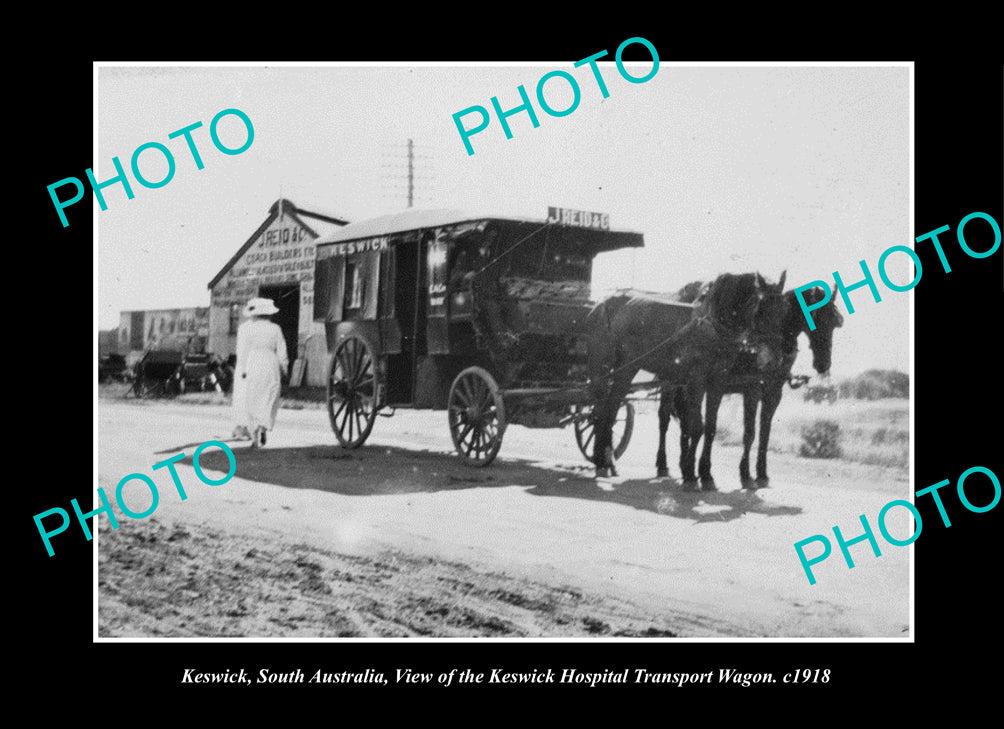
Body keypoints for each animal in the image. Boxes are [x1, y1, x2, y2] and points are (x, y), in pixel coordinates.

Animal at [582, 273, 767, 479]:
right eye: (754, 301)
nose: (760, 349)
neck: (709, 323)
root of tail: (600, 305)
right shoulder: (696, 379)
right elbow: (695, 426)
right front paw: (690, 472)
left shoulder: (717, 381)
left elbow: (710, 427)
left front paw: (705, 472)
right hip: (601, 366)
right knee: (600, 408)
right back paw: (601, 458)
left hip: (627, 368)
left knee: (611, 407)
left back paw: (605, 459)